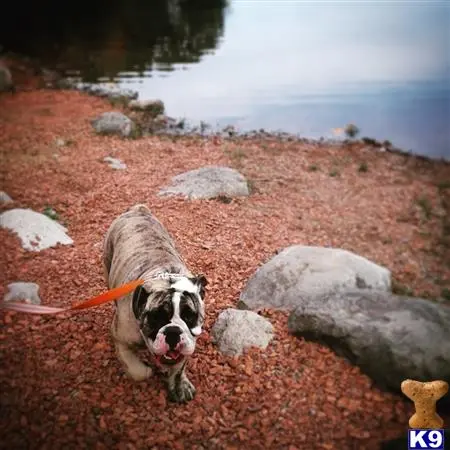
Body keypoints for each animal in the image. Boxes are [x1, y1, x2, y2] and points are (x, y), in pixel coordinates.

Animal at [102, 203, 207, 400]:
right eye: (156, 317)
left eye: (189, 317)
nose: (173, 331)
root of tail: (138, 210)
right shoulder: (120, 338)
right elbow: (137, 371)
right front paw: (146, 370)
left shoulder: (187, 347)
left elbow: (179, 367)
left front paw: (180, 385)